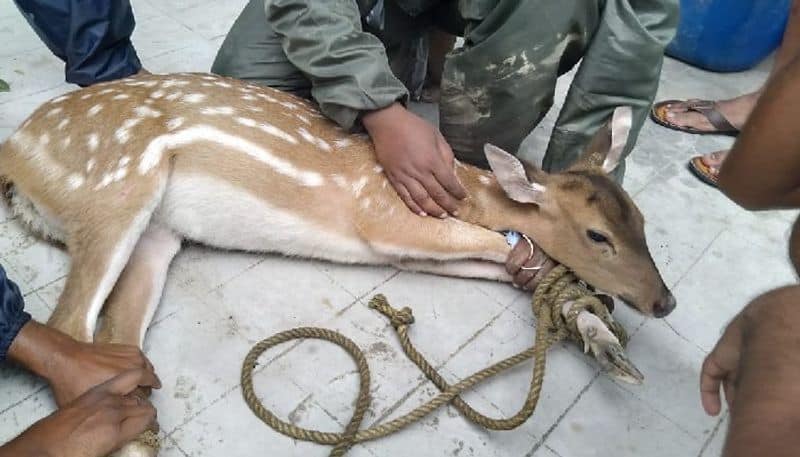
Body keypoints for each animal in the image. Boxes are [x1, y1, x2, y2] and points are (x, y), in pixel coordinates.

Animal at [0, 71, 676, 456]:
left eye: (642, 221)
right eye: (596, 235)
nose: (664, 302)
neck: (465, 188)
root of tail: (15, 150)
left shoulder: (414, 248)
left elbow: (508, 262)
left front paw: (600, 338)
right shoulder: (382, 214)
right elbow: (496, 243)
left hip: (158, 232)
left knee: (118, 334)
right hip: (112, 187)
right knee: (69, 325)